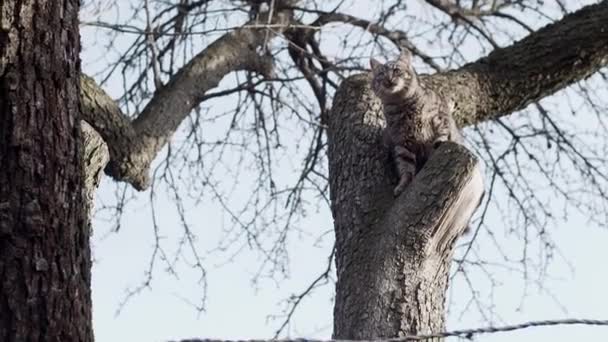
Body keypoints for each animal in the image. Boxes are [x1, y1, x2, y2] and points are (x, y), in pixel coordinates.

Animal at [368, 49, 464, 196]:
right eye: (381, 74)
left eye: (396, 70)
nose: (388, 79)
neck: (401, 102)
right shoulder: (402, 142)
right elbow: (405, 167)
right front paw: (403, 184)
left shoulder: (439, 116)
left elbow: (443, 132)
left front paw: (440, 140)